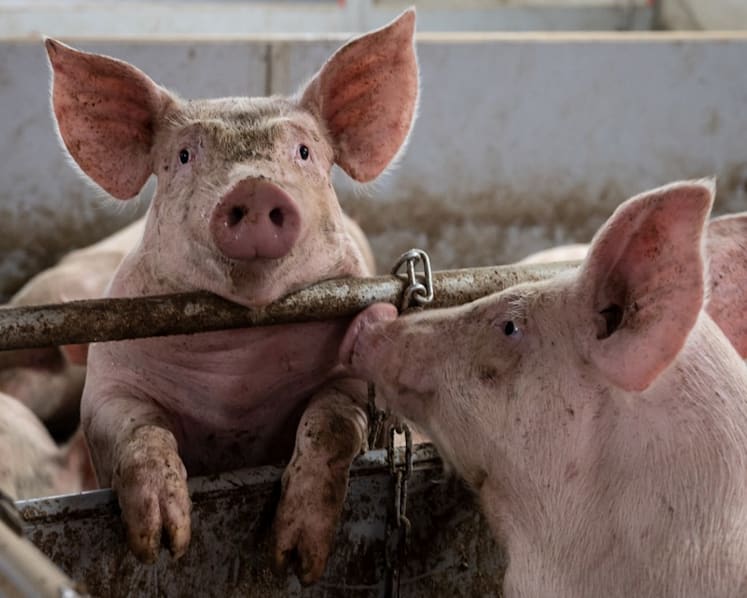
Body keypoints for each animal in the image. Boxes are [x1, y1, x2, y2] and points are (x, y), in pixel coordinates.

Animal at [43, 9, 418, 582]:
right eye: (183, 156)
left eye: (303, 152)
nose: (256, 187)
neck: (235, 386)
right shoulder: (109, 386)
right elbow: (140, 431)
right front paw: (163, 544)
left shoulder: (354, 380)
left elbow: (330, 424)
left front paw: (296, 560)